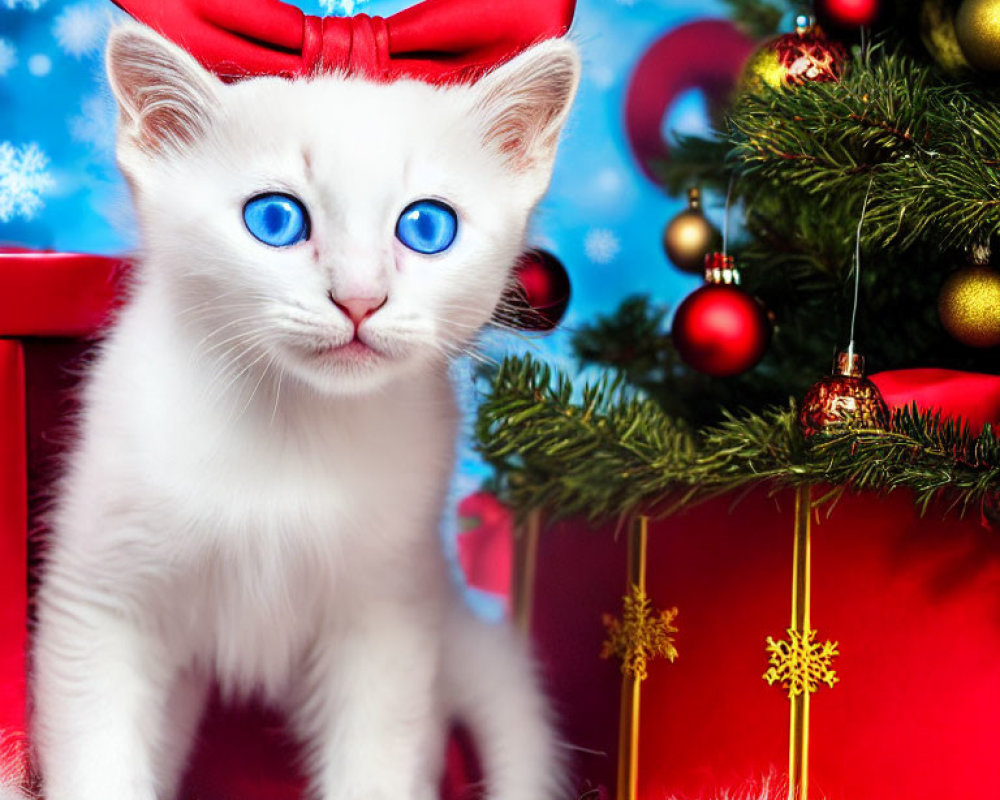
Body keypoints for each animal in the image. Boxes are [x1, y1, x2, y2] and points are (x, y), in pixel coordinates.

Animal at [31, 21, 580, 800]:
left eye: (427, 227)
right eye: (275, 218)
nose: (360, 298)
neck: (292, 427)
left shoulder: (389, 615)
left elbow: (375, 762)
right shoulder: (99, 597)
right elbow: (97, 758)